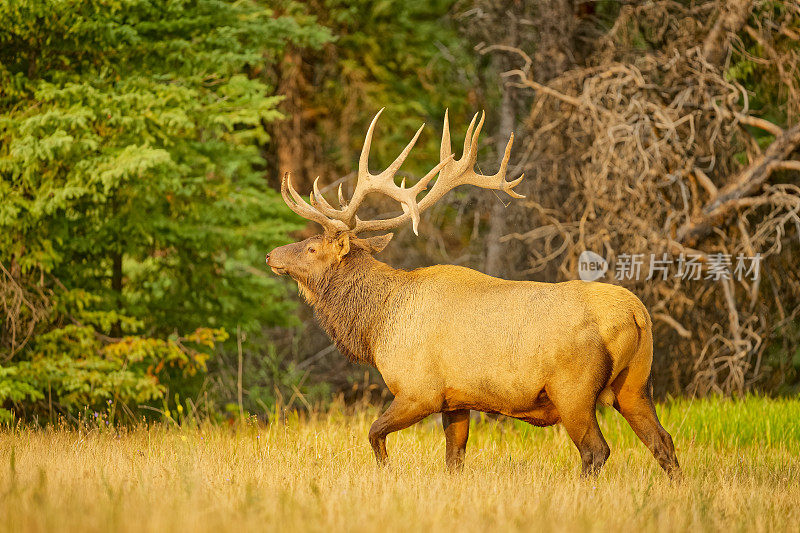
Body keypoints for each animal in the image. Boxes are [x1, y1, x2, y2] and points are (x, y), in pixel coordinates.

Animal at [266, 108, 680, 474]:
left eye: (311, 248)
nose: (272, 254)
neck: (377, 324)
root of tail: (637, 315)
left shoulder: (419, 390)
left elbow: (374, 434)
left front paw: (386, 472)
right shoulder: (456, 399)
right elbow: (454, 459)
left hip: (573, 389)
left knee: (596, 451)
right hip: (636, 385)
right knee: (663, 441)